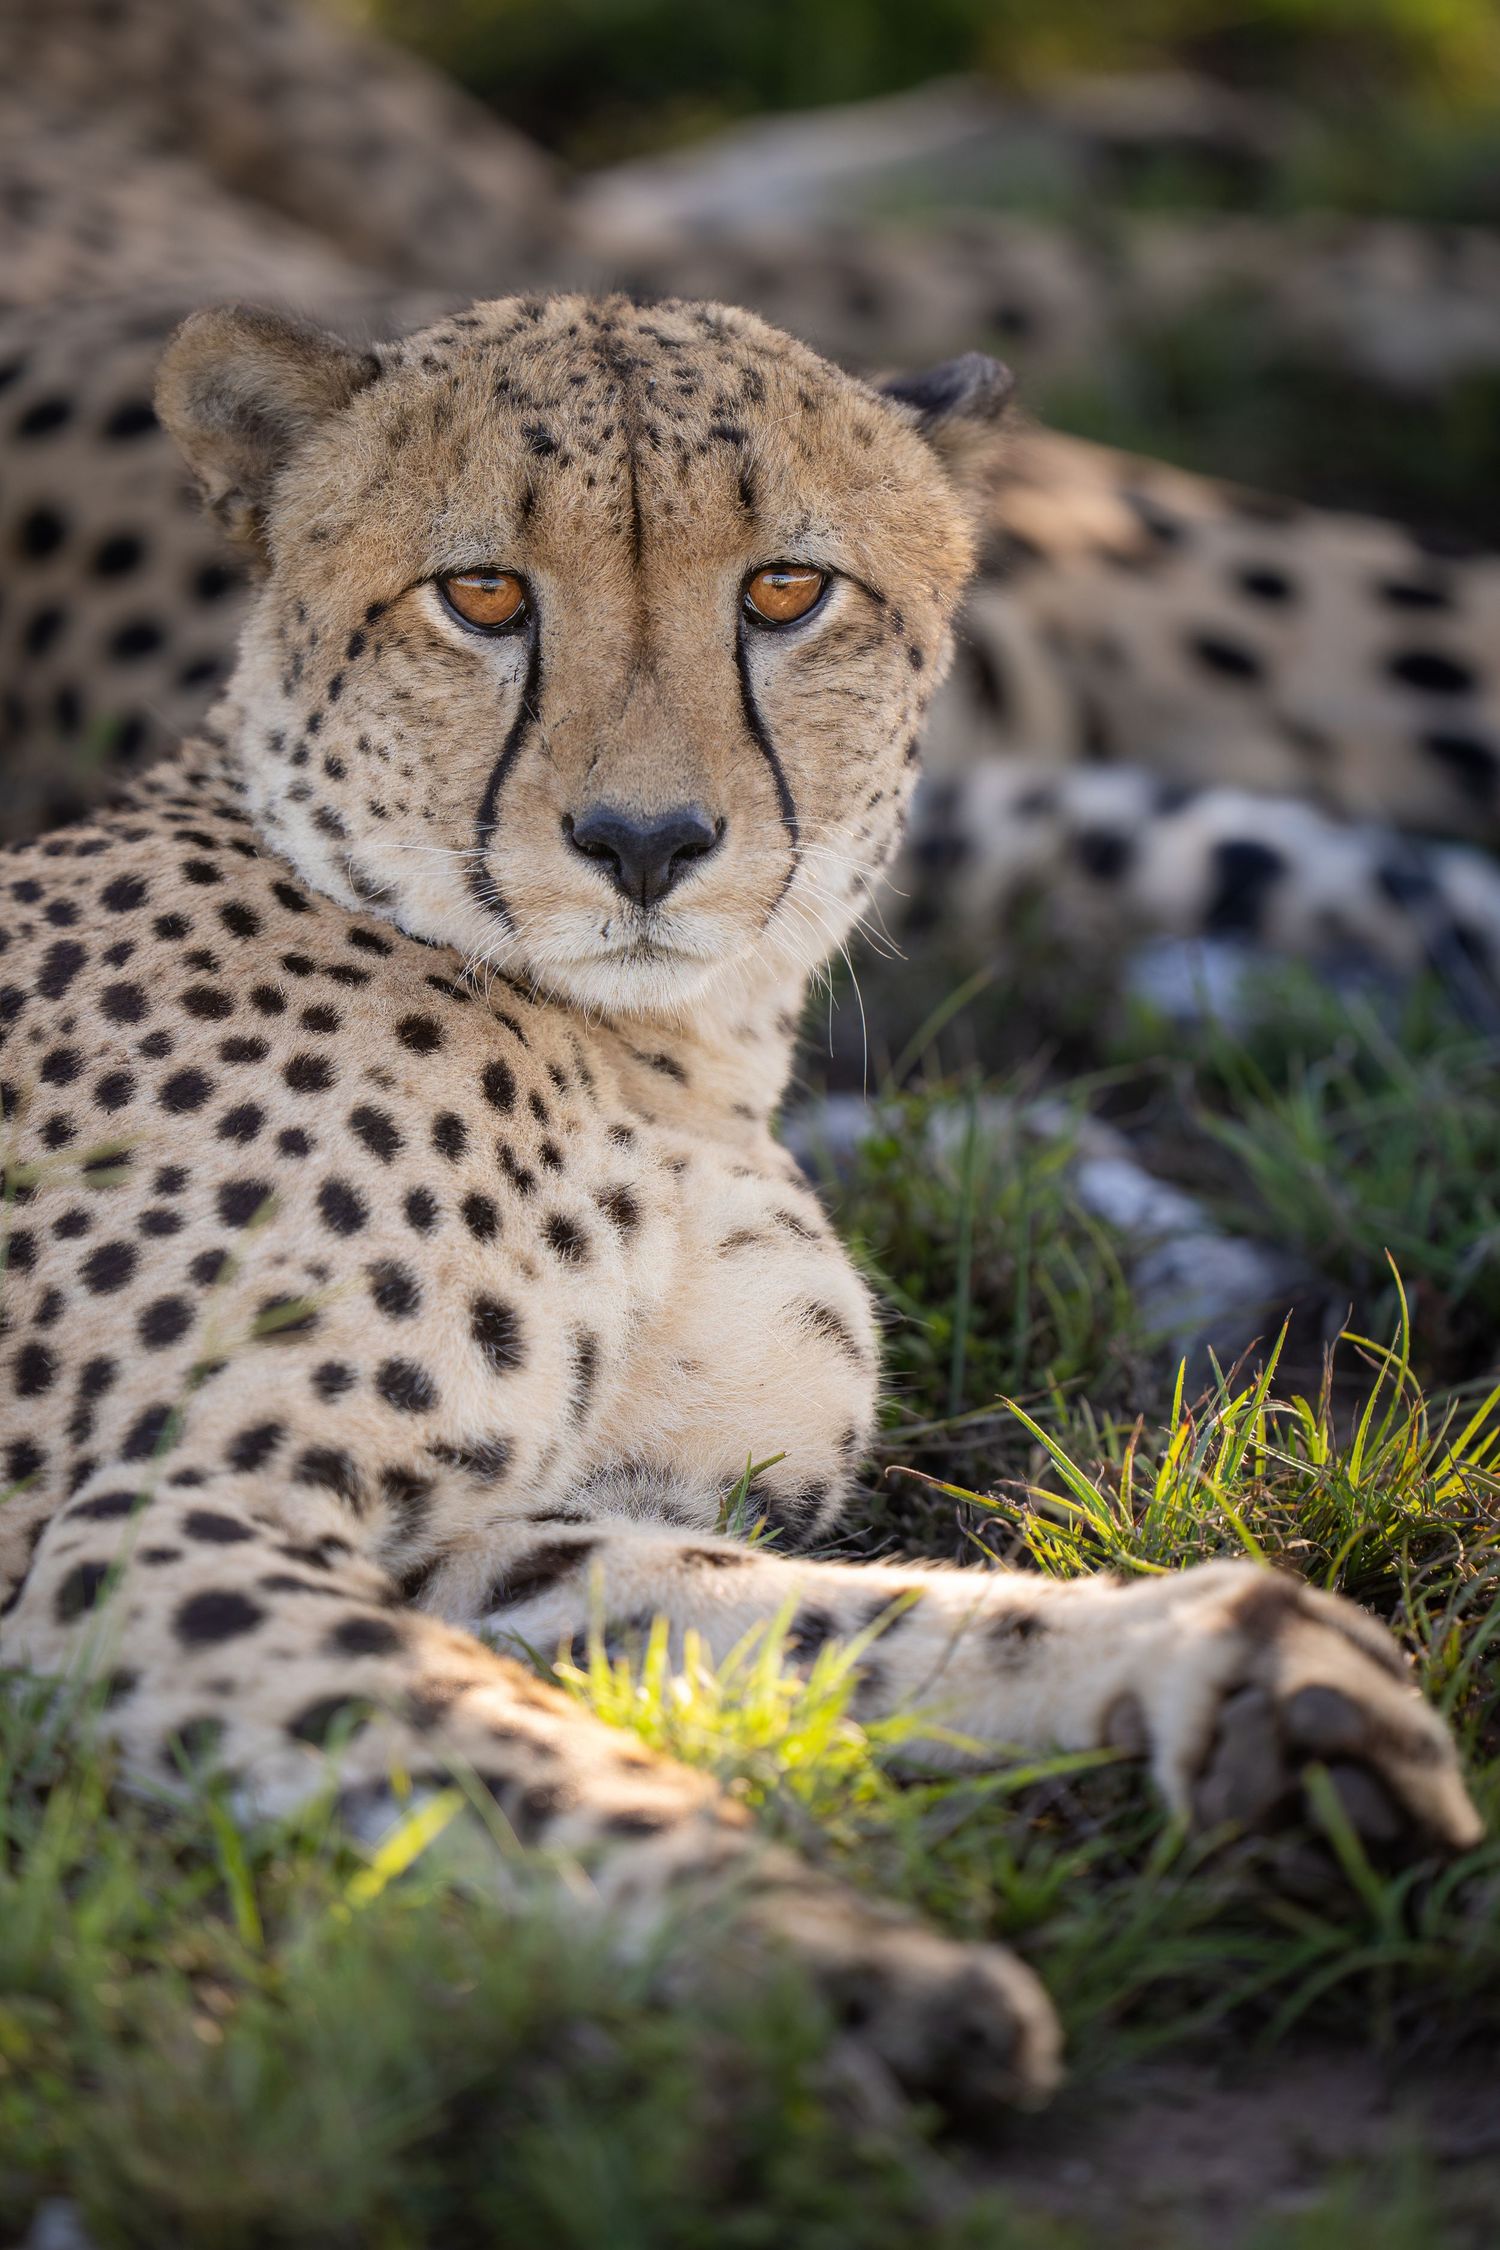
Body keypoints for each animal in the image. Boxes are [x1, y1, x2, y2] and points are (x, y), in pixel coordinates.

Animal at [0, 290, 1481, 2121]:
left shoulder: (491, 1531)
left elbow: (811, 1619)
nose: (645, 841)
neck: (665, 1062)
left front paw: (1236, 1676)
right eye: (481, 594)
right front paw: (824, 1968)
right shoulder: (145, 1533)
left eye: (783, 592)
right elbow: (505, 1759)